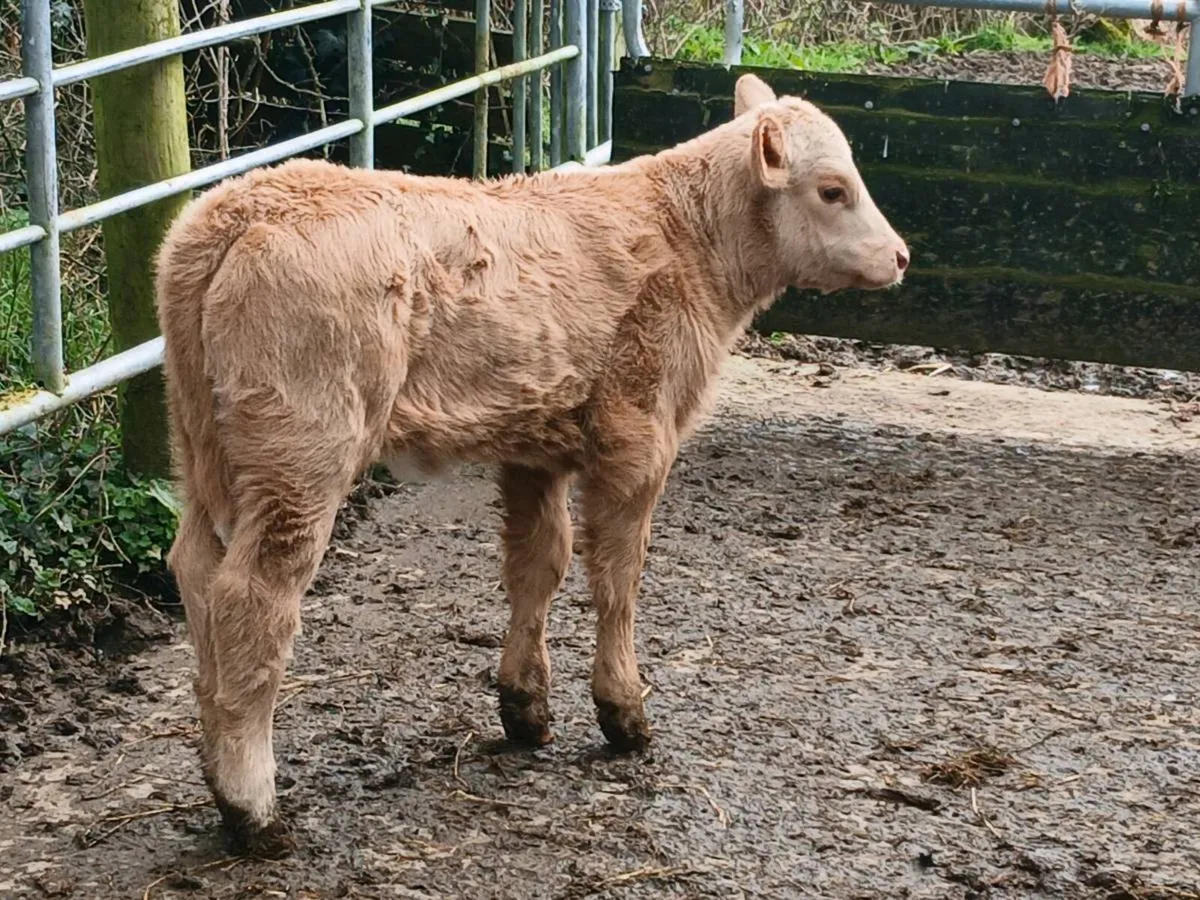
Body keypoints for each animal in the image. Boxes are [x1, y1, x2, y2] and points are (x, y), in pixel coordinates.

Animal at [155, 72, 909, 856]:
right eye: (832, 189)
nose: (902, 256)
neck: (685, 236)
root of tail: (243, 207)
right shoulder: (638, 437)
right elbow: (617, 576)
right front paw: (624, 713)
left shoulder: (532, 448)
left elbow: (538, 564)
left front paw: (524, 707)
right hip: (302, 453)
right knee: (254, 598)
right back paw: (253, 808)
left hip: (201, 444)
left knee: (196, 570)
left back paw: (216, 771)